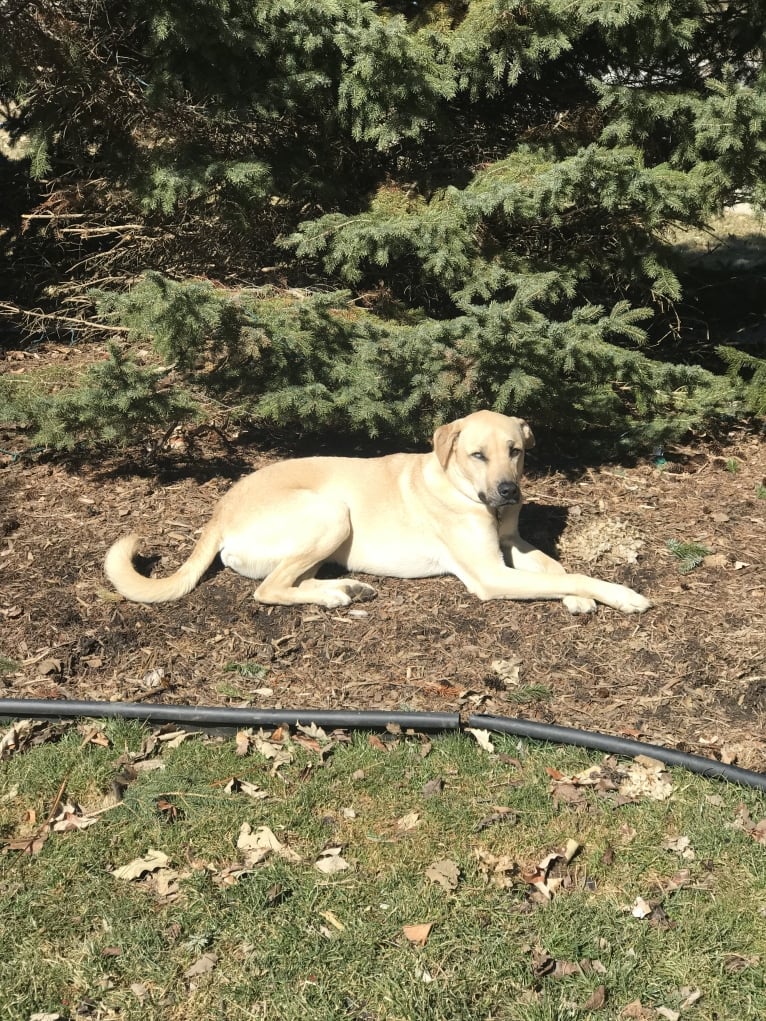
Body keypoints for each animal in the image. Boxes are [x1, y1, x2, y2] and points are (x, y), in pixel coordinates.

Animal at [105, 408, 649, 612]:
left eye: (515, 451)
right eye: (478, 455)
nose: (508, 492)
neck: (461, 487)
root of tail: (219, 512)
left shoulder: (511, 543)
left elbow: (556, 567)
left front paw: (579, 597)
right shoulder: (490, 575)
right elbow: (572, 574)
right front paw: (618, 595)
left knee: (289, 580)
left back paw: (344, 587)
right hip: (331, 512)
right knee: (268, 590)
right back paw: (333, 597)